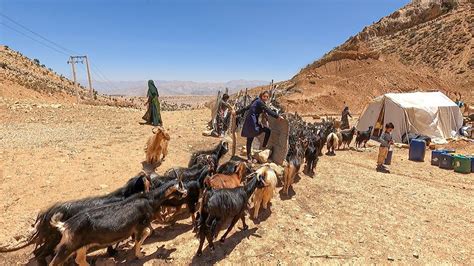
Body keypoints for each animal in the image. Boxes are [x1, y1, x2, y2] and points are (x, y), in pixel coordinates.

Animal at [0, 172, 150, 264]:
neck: (124, 195)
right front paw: (114, 251)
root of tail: (46, 214)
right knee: (40, 254)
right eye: (149, 179)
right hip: (55, 239)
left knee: (39, 252)